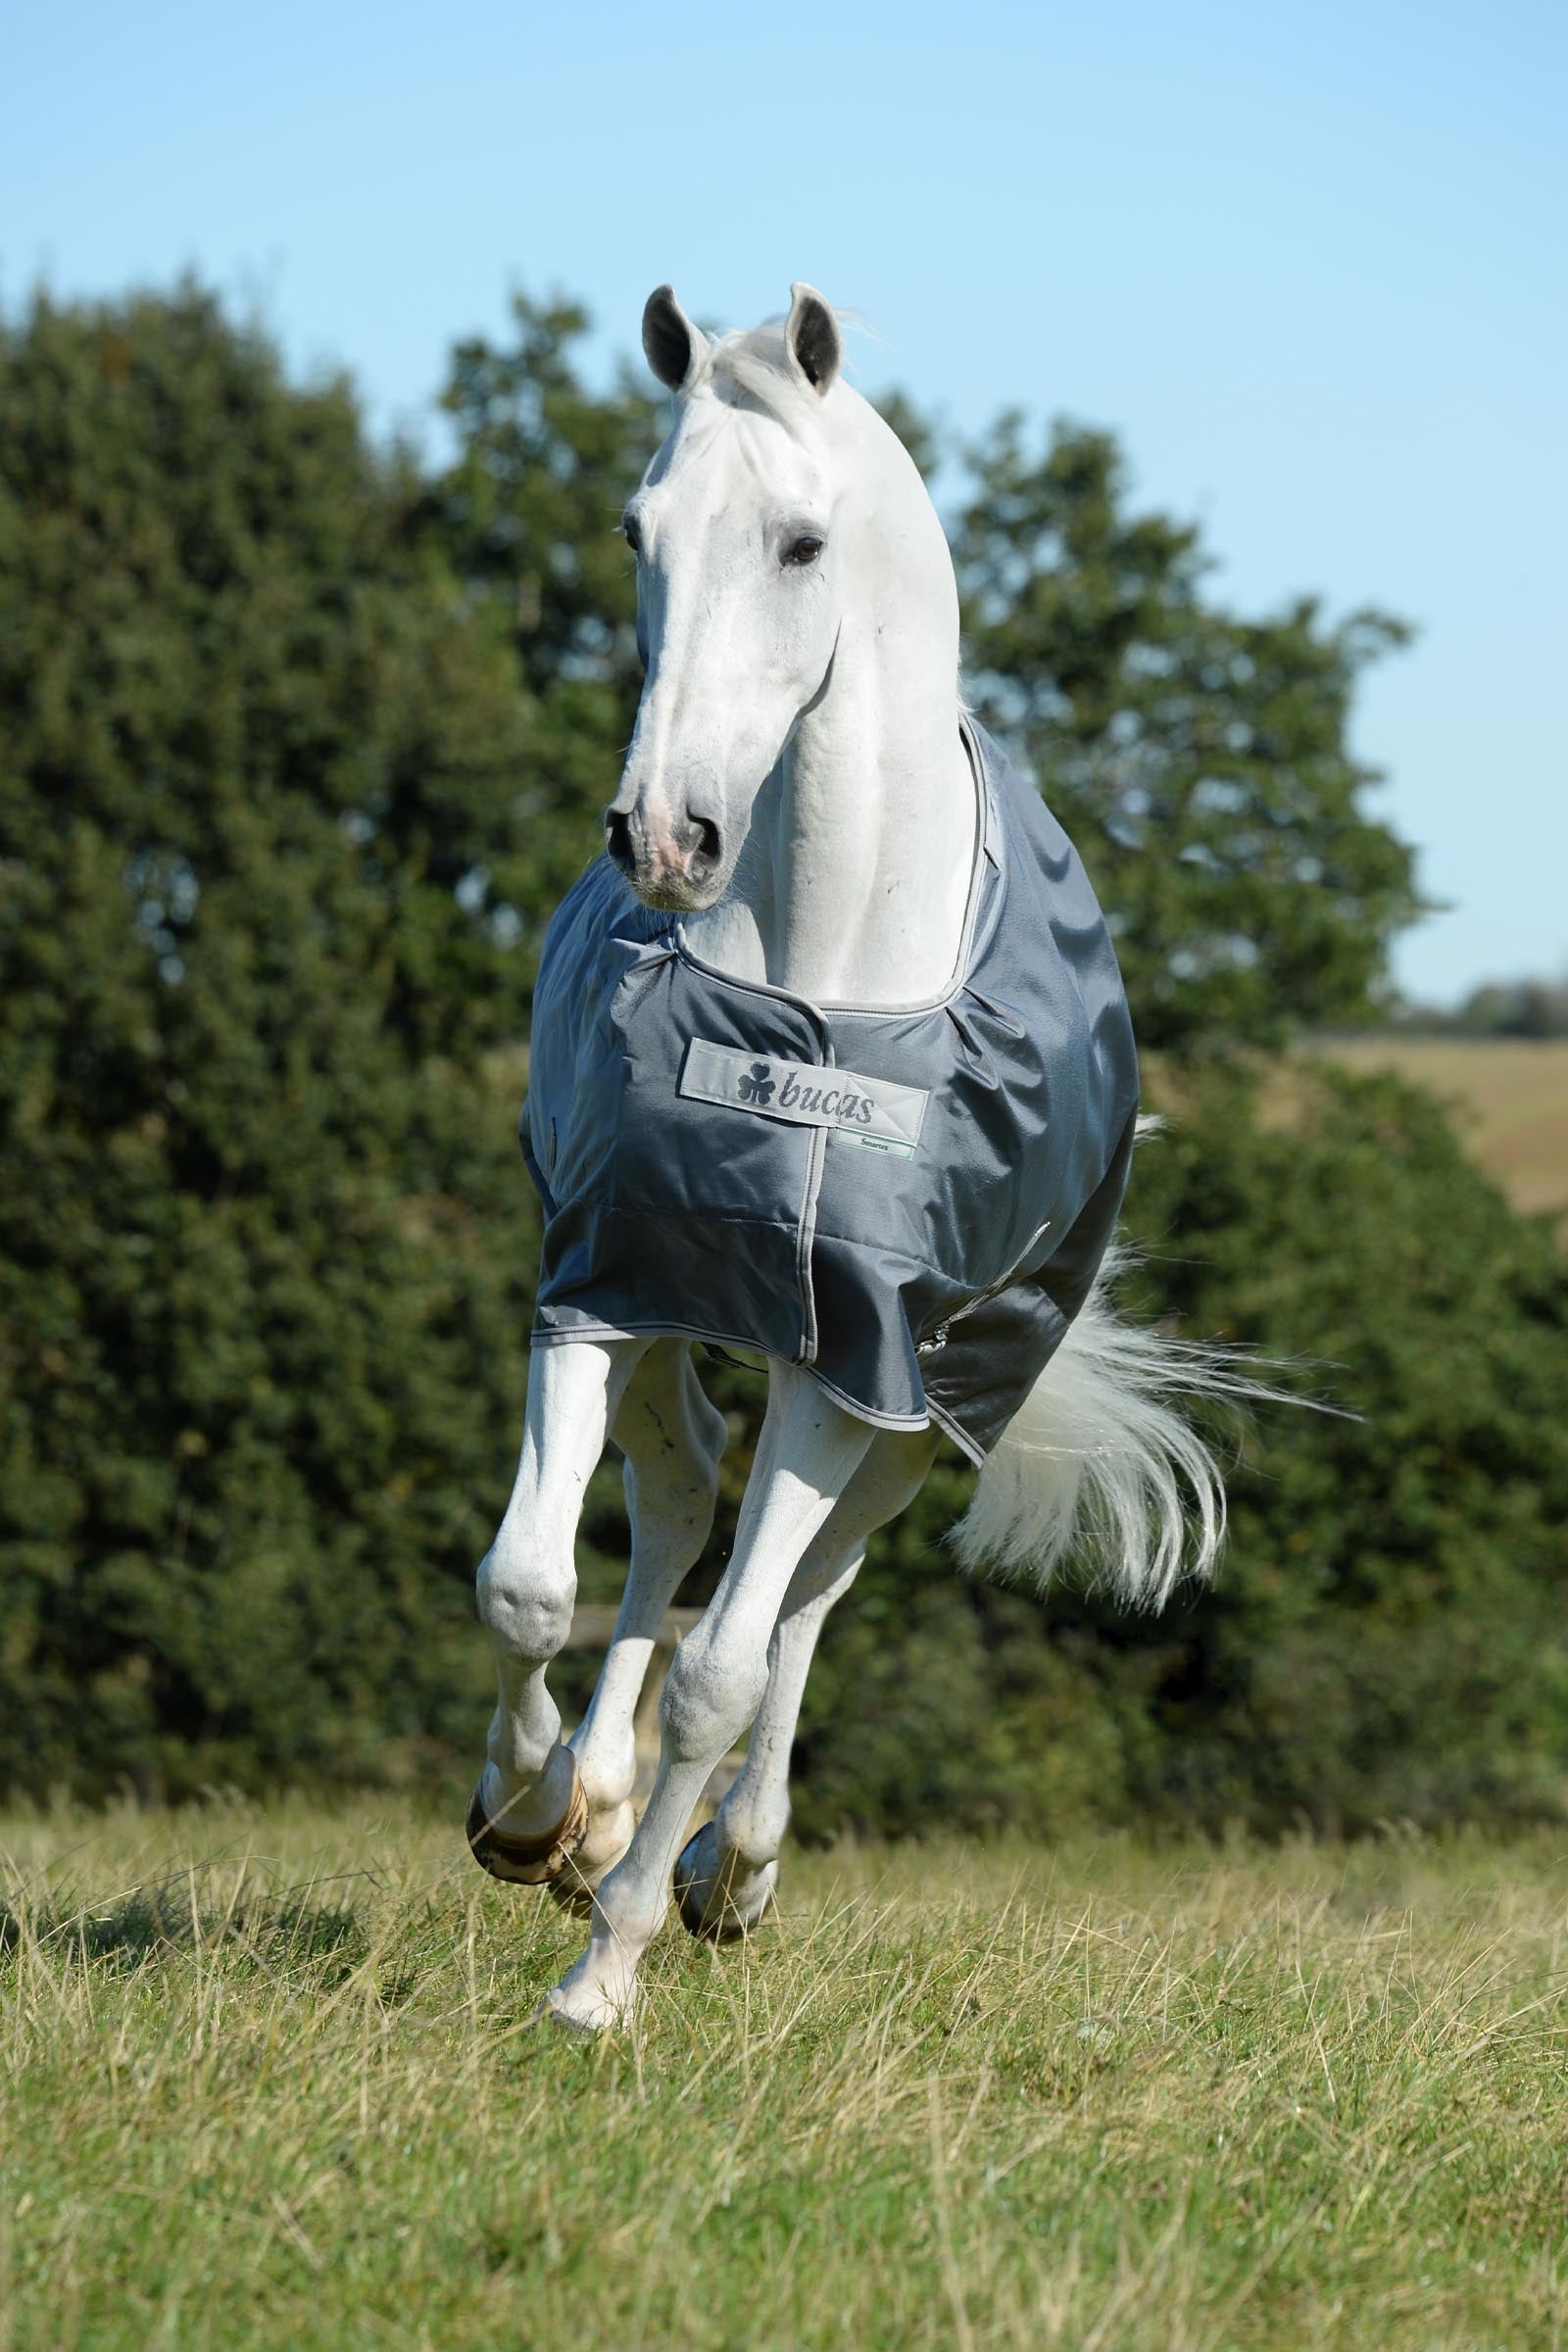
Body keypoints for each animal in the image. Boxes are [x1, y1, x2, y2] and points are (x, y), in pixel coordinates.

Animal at [467, 283, 1233, 2034]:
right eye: (638, 529)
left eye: (802, 542)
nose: (663, 838)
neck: (813, 995)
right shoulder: (602, 1278)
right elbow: (530, 1579)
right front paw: (532, 1817)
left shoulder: (853, 1348)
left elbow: (731, 1668)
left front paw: (610, 1970)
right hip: (687, 1315)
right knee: (681, 1500)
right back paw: (591, 1811)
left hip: (928, 1397)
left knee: (813, 1582)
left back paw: (726, 1869)